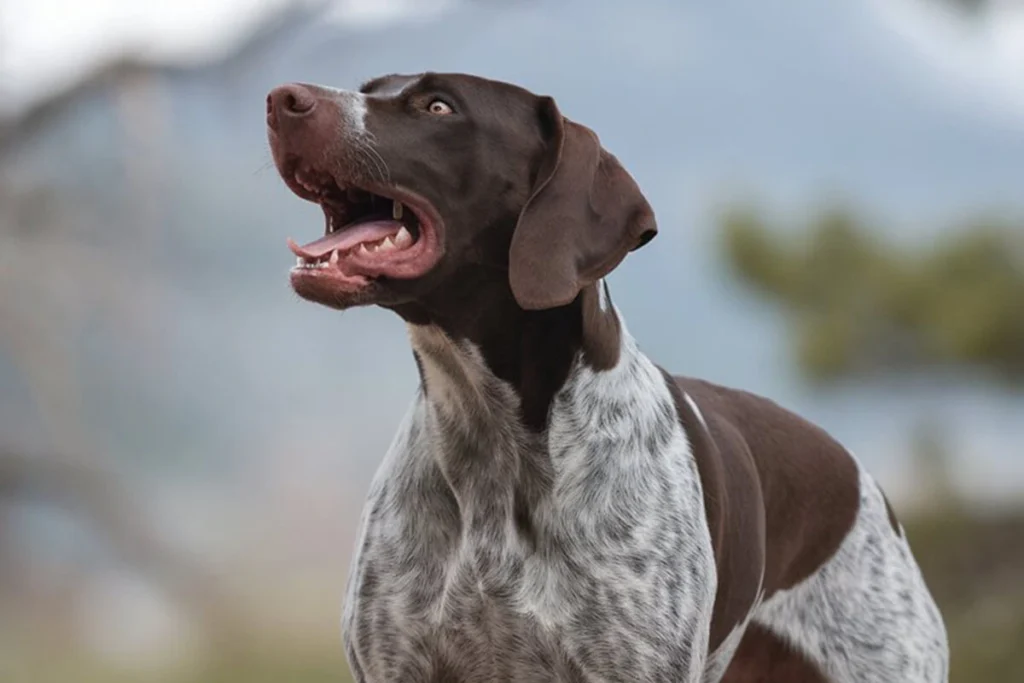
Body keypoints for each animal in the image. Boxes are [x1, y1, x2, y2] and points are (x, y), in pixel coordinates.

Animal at [266, 73, 950, 683]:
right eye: (369, 87)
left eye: (438, 106)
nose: (282, 99)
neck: (490, 436)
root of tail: (861, 475)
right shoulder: (397, 664)